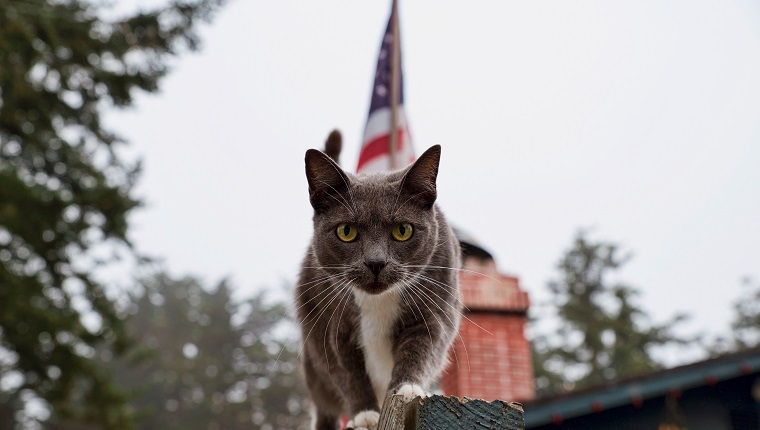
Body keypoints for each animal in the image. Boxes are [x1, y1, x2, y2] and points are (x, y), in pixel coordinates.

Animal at [296, 144, 464, 430]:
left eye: (403, 230)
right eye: (346, 231)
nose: (375, 262)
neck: (377, 300)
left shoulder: (434, 309)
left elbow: (421, 347)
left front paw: (406, 389)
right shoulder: (332, 325)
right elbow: (346, 370)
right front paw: (365, 415)